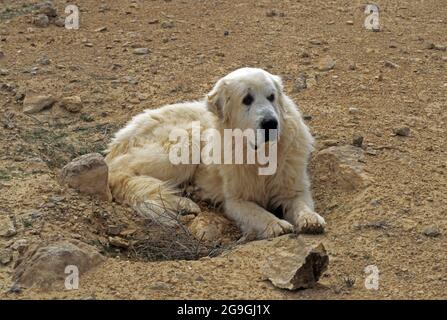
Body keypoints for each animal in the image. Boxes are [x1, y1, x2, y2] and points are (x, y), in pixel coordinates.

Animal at [107, 68, 328, 238]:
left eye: (271, 97)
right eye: (247, 99)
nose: (271, 123)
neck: (259, 154)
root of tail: (119, 140)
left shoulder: (293, 188)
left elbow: (301, 204)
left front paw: (310, 219)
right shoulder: (236, 201)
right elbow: (257, 212)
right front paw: (275, 224)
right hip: (186, 142)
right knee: (125, 178)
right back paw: (184, 203)